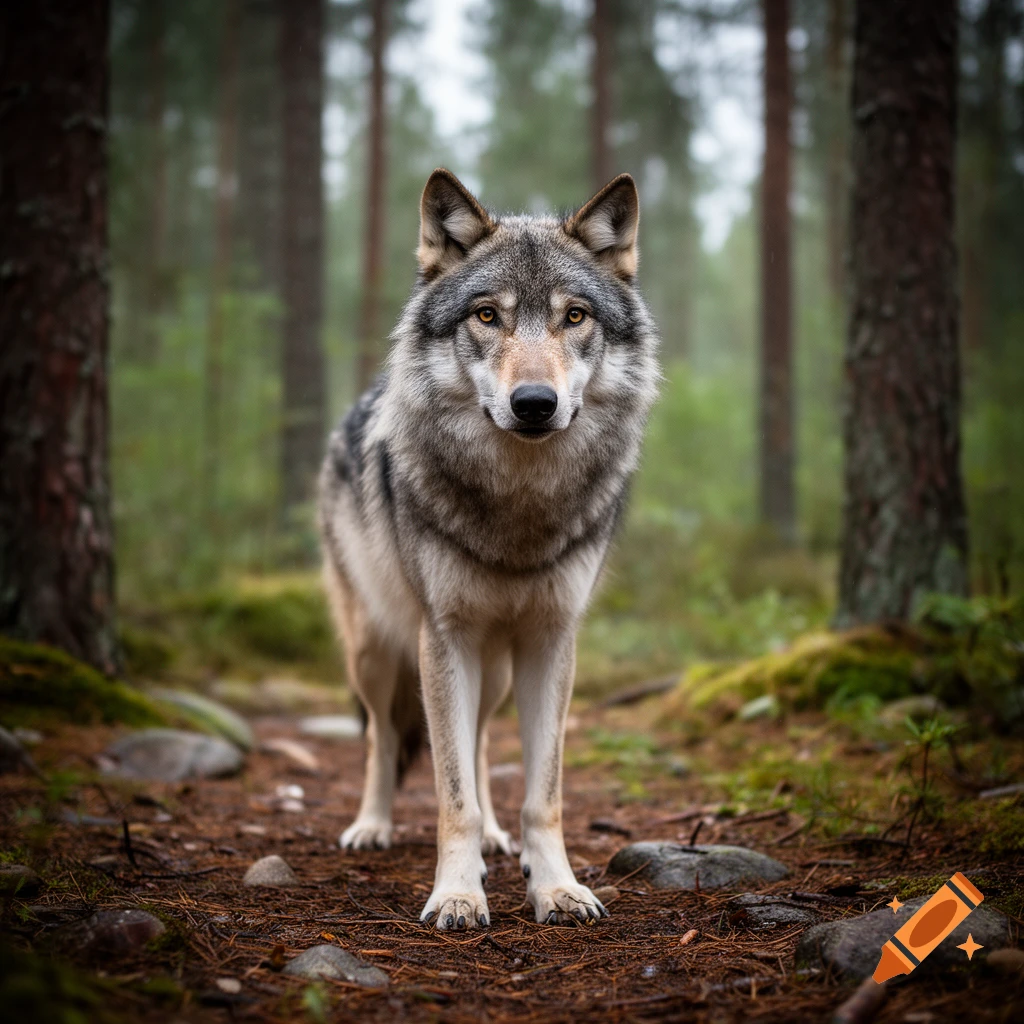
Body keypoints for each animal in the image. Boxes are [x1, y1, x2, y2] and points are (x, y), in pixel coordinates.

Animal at [318, 169, 659, 931]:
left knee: (474, 743)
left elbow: (542, 793)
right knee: (383, 738)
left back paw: (499, 841)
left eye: (573, 317)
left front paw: (555, 885)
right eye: (485, 316)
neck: (518, 510)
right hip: (377, 652)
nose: (534, 402)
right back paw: (372, 825)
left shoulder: (552, 640)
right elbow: (450, 797)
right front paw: (455, 893)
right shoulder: (444, 636)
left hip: (496, 671)